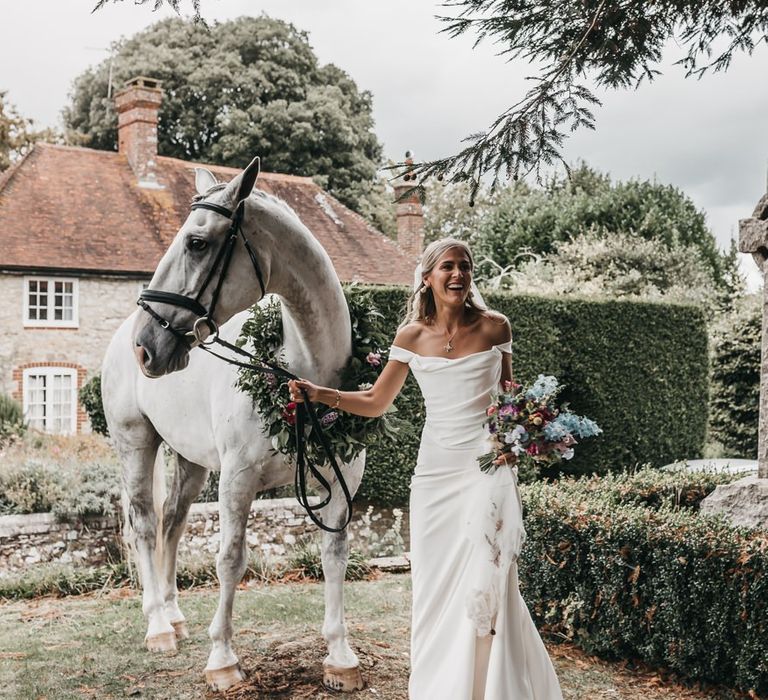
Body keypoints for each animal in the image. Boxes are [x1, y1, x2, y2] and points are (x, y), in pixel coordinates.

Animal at [102, 157, 366, 688]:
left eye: (196, 242)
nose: (146, 346)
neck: (301, 375)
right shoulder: (237, 481)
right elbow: (229, 559)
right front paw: (222, 659)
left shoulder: (342, 479)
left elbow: (334, 556)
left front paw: (339, 655)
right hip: (135, 444)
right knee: (144, 525)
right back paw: (158, 626)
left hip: (190, 462)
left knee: (172, 523)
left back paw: (174, 614)